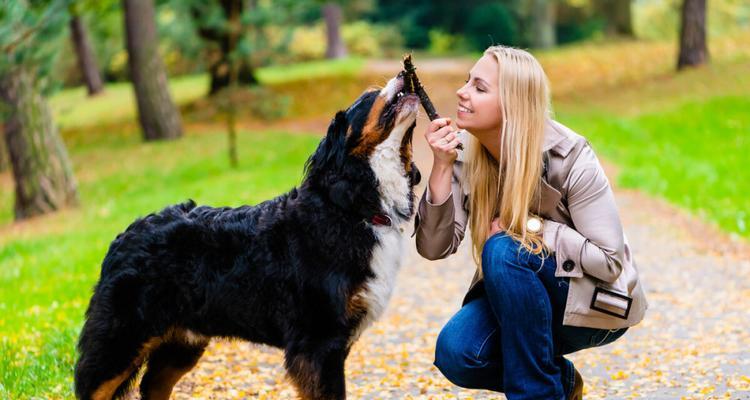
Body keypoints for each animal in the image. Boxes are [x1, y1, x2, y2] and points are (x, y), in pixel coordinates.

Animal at [75, 72, 428, 400]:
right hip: (120, 342)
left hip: (182, 342)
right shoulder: (318, 341)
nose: (404, 73)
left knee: (153, 386)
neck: (351, 205)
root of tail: (123, 236)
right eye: (368, 96)